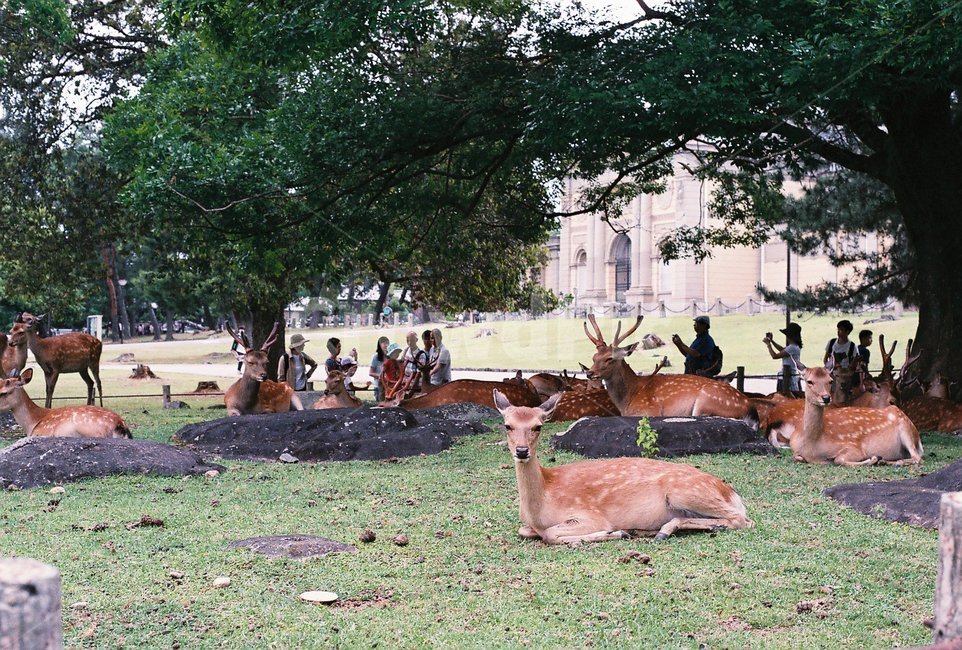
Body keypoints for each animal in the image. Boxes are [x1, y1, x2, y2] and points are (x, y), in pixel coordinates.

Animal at [493, 389, 753, 544]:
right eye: (507, 425)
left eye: (538, 426)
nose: (522, 451)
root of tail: (730, 492)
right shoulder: (529, 525)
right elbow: (525, 531)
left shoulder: (590, 515)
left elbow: (550, 534)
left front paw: (615, 532)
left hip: (686, 491)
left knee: (742, 520)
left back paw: (661, 530)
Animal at [584, 315, 757, 424]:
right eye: (594, 357)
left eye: (610, 358)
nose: (589, 373)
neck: (628, 399)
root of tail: (751, 408)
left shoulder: (650, 410)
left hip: (707, 402)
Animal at [787, 365, 922, 466]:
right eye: (809, 381)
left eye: (830, 381)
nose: (826, 398)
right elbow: (796, 457)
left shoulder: (854, 447)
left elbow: (839, 459)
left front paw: (873, 459)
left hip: (905, 429)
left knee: (917, 457)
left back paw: (886, 461)